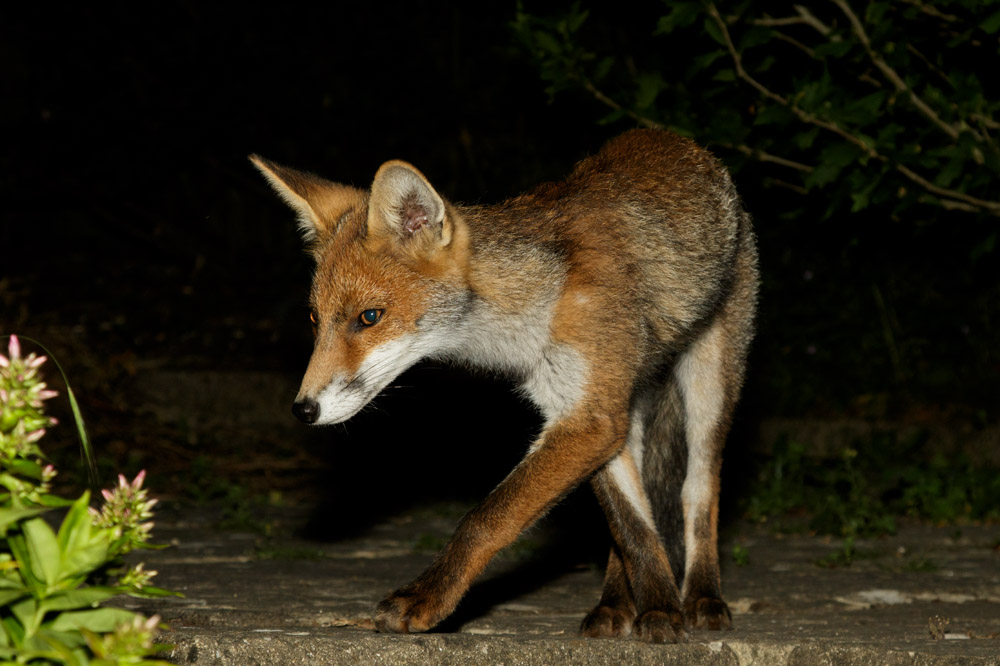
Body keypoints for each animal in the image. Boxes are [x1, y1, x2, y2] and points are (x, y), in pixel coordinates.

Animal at [250, 128, 759, 643]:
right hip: (630, 403)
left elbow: (486, 519)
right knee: (639, 516)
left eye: (369, 317)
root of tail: (678, 142)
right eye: (314, 320)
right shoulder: (585, 411)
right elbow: (631, 528)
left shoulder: (591, 418)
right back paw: (615, 604)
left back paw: (702, 598)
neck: (534, 308)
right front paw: (654, 604)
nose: (304, 409)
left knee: (699, 491)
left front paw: (427, 599)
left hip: (709, 384)